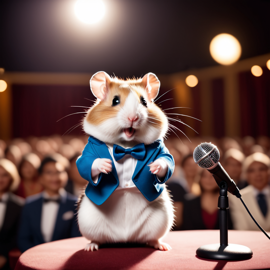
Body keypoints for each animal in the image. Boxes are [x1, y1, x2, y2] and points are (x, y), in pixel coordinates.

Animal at [76, 71, 175, 251]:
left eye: (144, 102)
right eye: (115, 101)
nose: (133, 118)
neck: (126, 146)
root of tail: (124, 238)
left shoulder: (161, 149)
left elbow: (167, 160)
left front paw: (154, 166)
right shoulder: (89, 149)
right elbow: (85, 163)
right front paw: (106, 165)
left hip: (161, 217)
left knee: (152, 238)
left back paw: (161, 246)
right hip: (88, 220)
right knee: (97, 238)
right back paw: (91, 246)